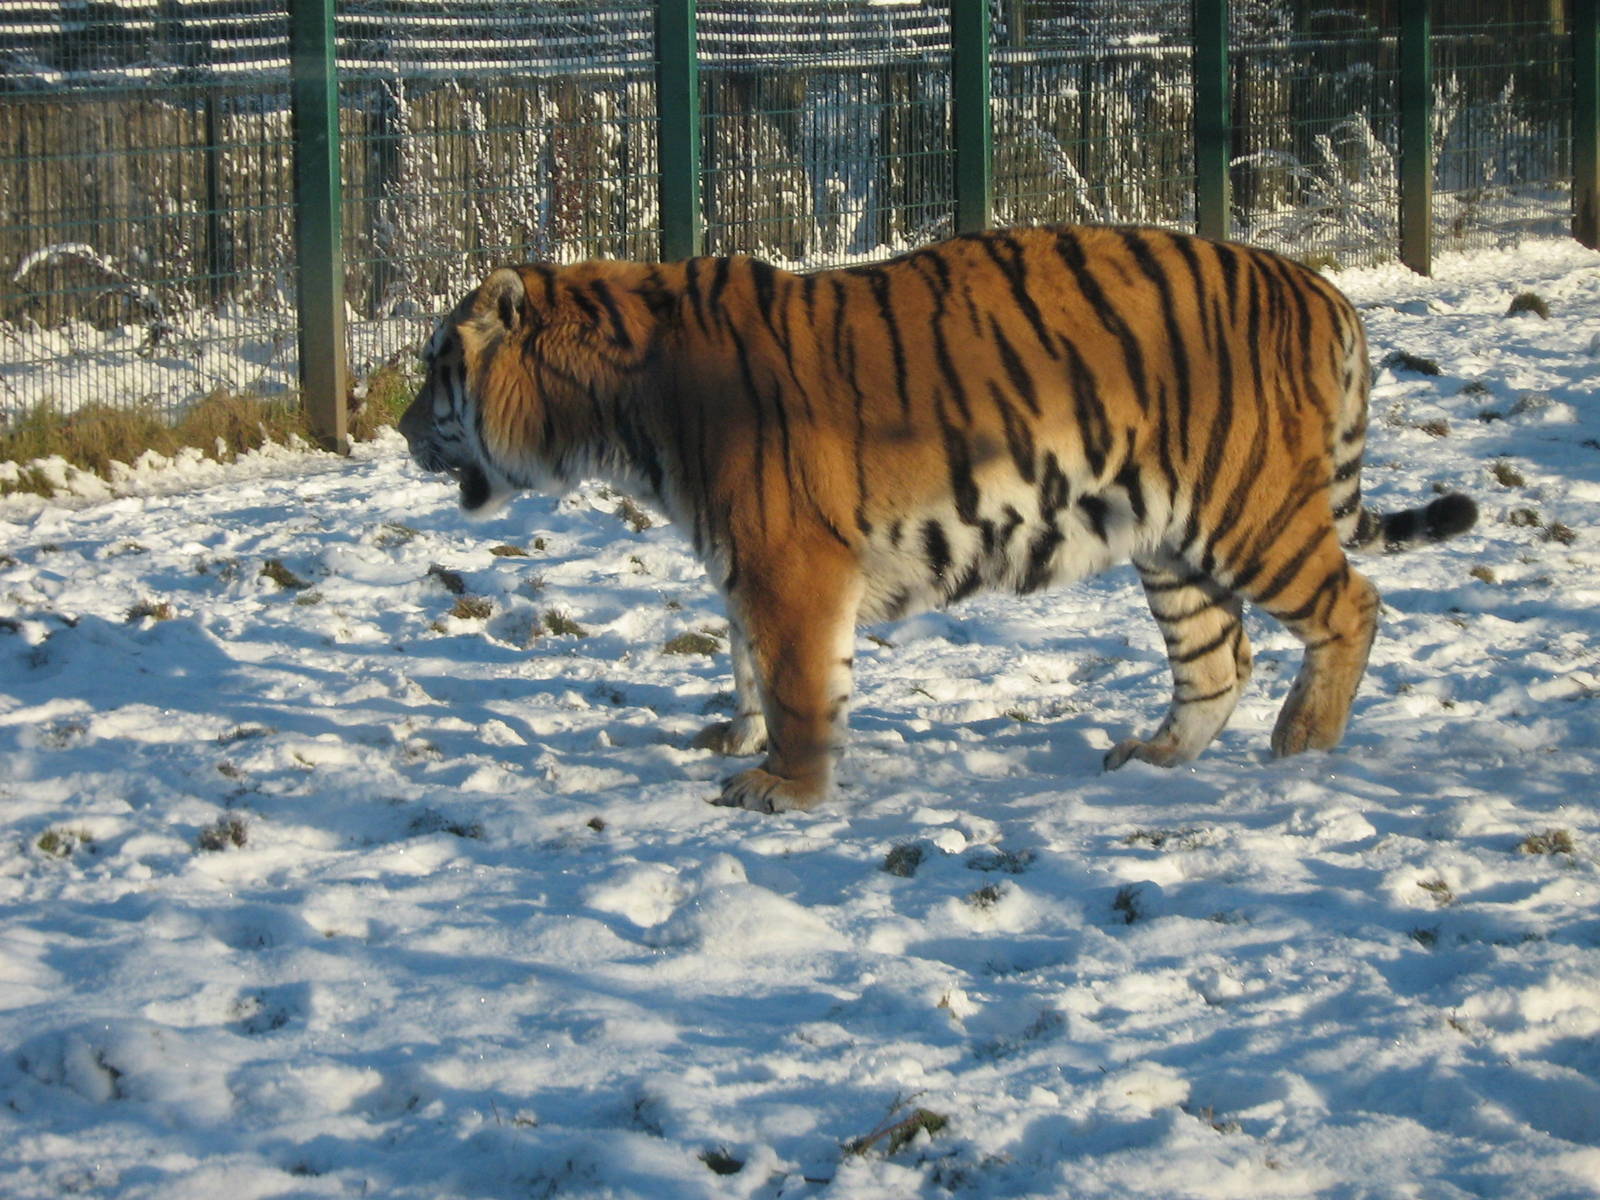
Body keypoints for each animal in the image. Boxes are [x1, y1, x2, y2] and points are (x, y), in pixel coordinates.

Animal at [398, 224, 1477, 814]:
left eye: (437, 367)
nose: (403, 429)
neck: (615, 408)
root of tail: (1326, 287)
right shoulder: (746, 560)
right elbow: (748, 663)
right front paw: (737, 740)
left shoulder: (791, 560)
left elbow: (797, 683)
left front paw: (784, 789)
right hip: (1171, 542)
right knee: (1218, 661)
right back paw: (1153, 758)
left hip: (1248, 509)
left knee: (1353, 605)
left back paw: (1302, 744)